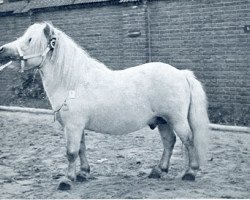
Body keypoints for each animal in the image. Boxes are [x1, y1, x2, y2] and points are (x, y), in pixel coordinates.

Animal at [0, 22, 209, 190]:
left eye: (30, 39)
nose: (2, 49)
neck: (73, 82)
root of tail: (181, 74)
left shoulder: (73, 126)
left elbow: (71, 152)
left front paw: (67, 180)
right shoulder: (77, 127)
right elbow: (81, 149)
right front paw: (83, 174)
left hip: (176, 119)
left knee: (188, 140)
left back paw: (190, 173)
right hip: (162, 120)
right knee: (169, 142)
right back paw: (158, 171)